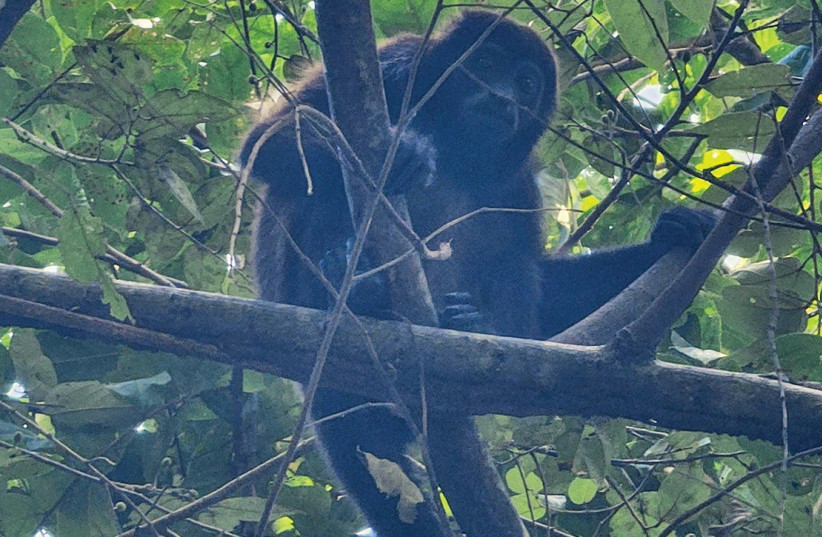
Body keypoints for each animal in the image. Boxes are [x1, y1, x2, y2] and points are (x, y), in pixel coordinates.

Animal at [241, 10, 714, 536]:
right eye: (485, 63)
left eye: (526, 84)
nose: (502, 97)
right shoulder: (395, 63)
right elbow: (268, 141)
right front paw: (405, 151)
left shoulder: (521, 181)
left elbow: (529, 284)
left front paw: (671, 235)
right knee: (314, 191)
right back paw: (355, 284)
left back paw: (456, 321)